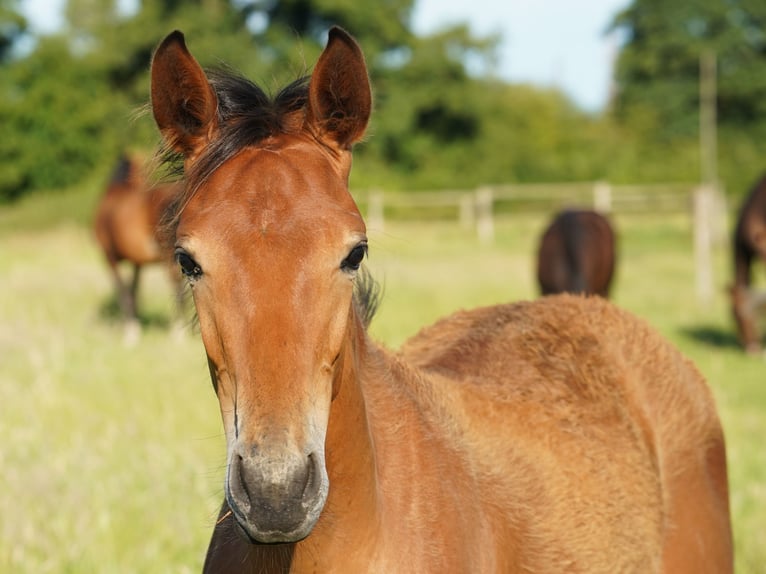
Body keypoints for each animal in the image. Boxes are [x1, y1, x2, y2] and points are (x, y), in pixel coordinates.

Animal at [93, 154, 182, 342]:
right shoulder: (137, 262)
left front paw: (130, 331)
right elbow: (134, 291)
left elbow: (123, 291)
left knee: (176, 285)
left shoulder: (109, 258)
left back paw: (177, 332)